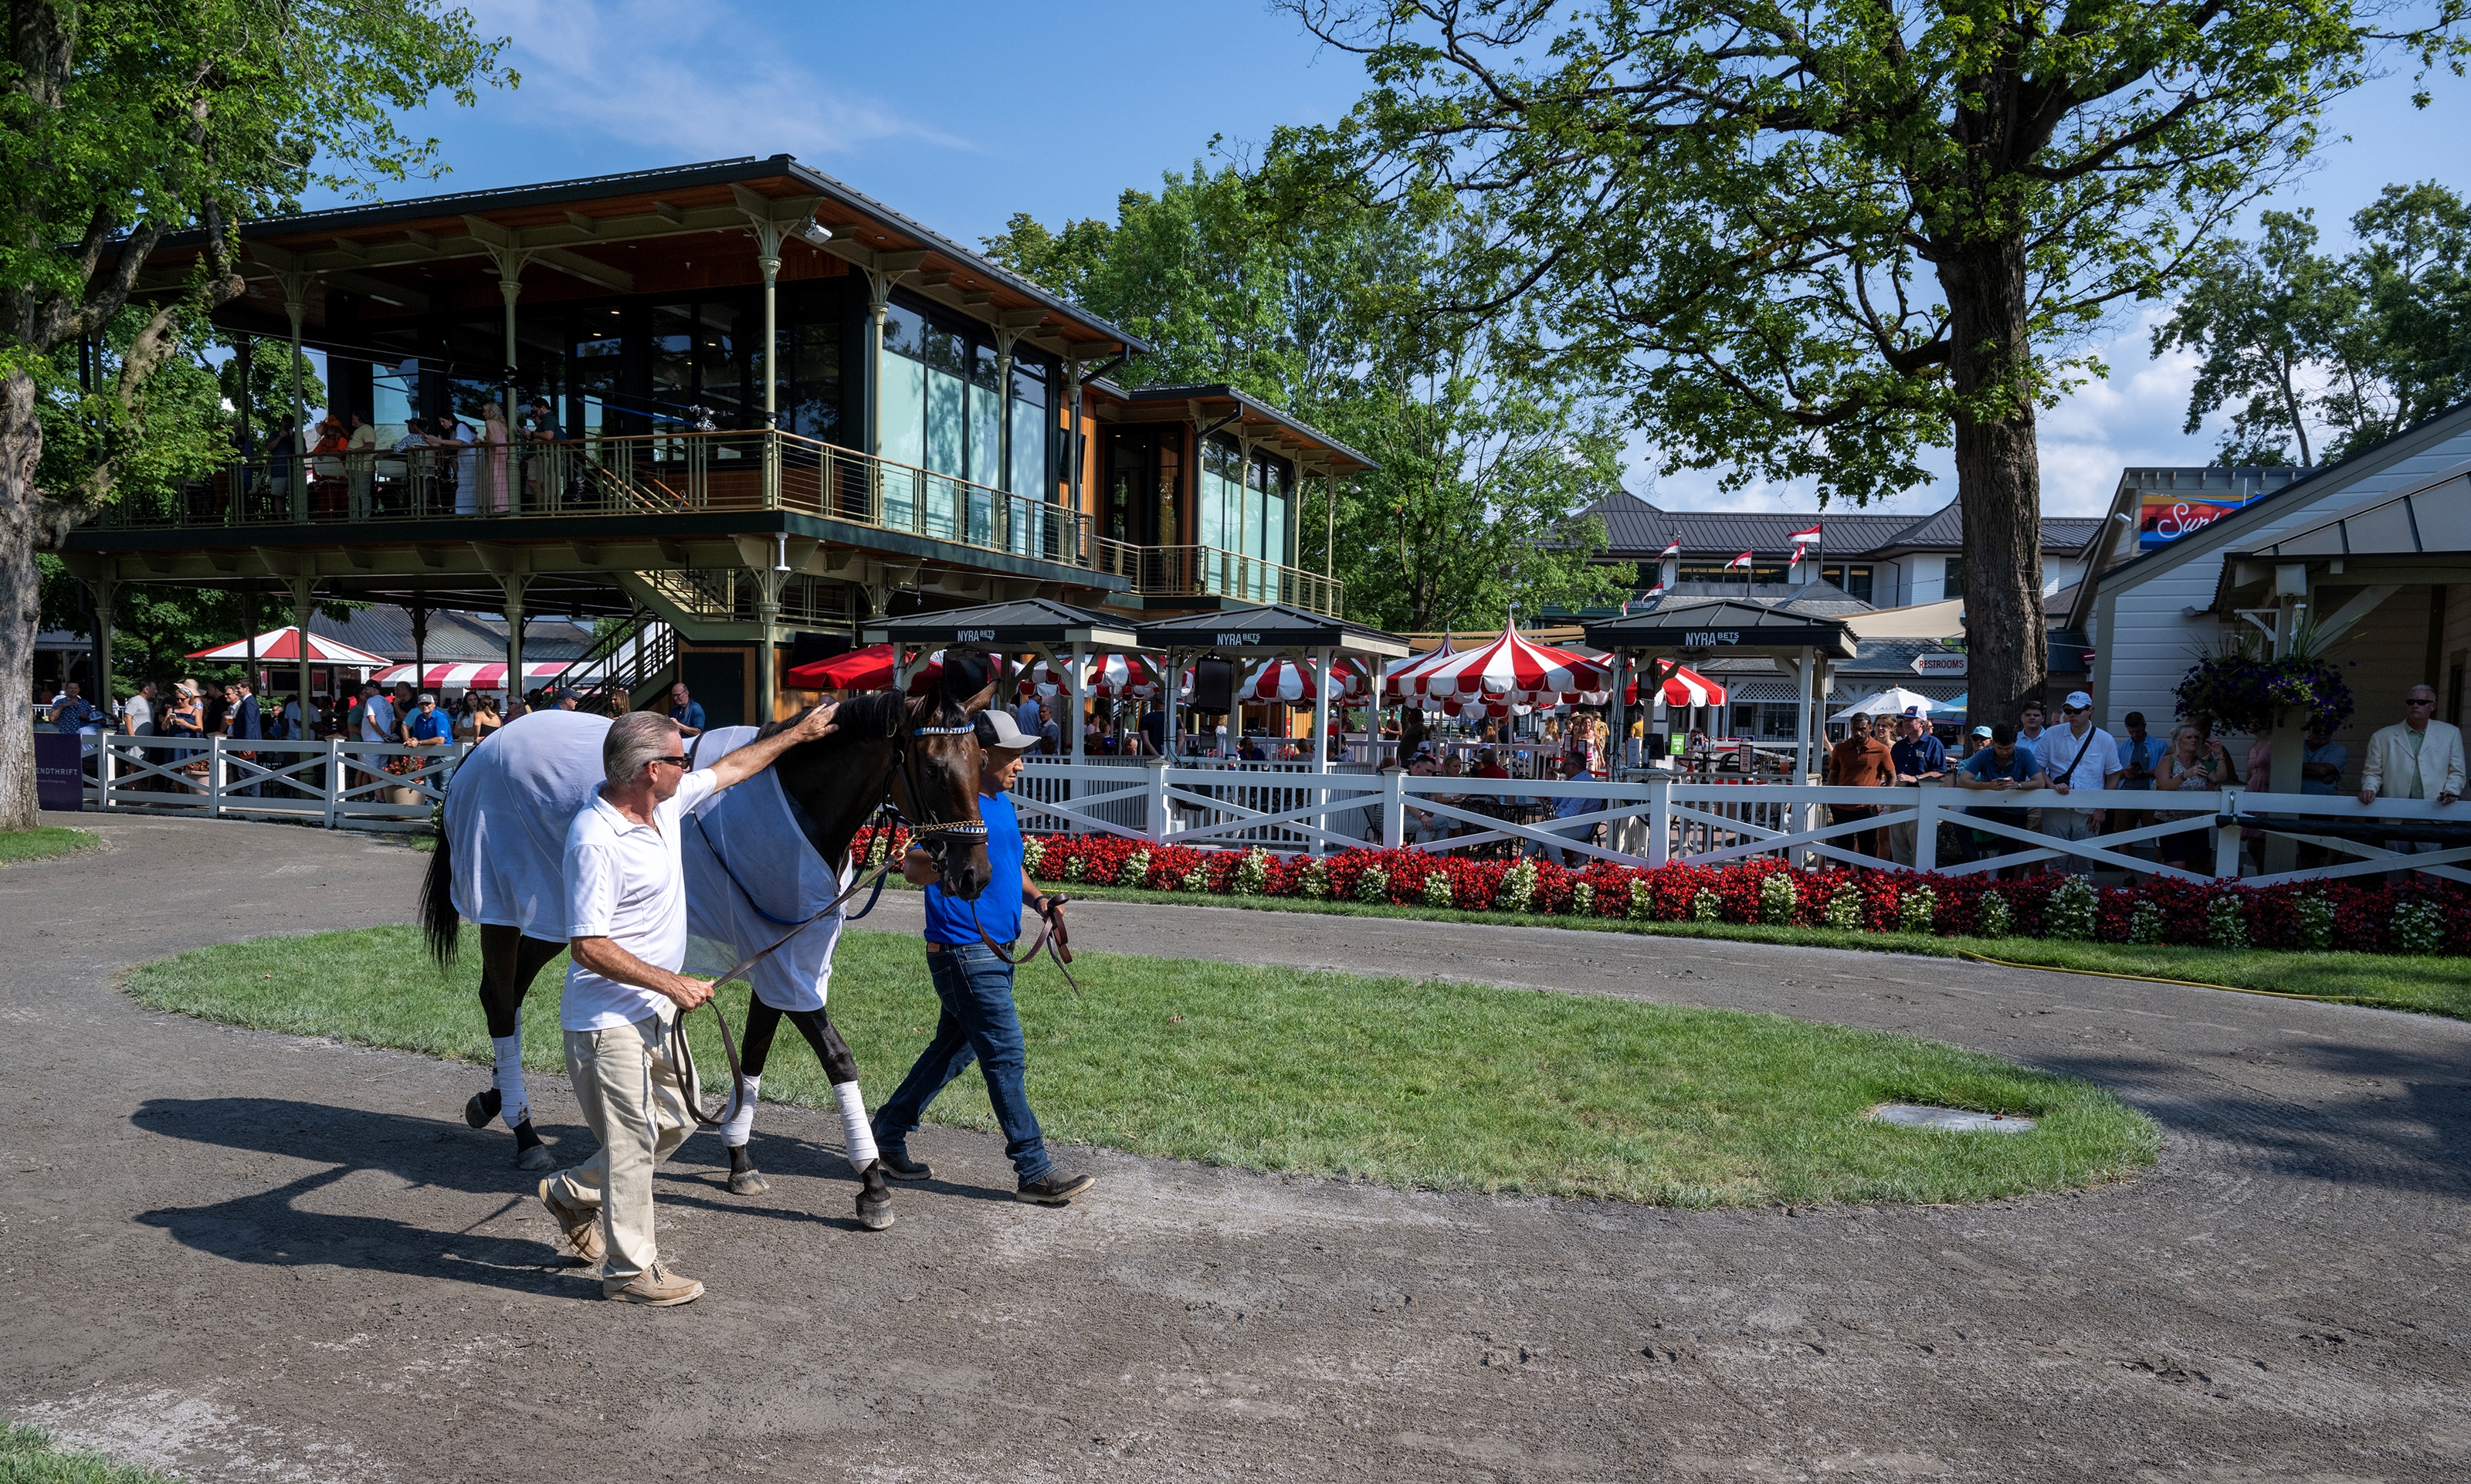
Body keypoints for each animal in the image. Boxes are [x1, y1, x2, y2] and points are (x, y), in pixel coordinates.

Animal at [425, 671, 993, 1225]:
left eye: (980, 762)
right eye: (936, 769)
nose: (975, 876)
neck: (798, 804)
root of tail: (483, 749)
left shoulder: (781, 955)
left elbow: (754, 1051)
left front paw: (740, 1158)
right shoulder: (787, 966)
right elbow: (838, 1059)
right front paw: (872, 1182)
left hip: (551, 917)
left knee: (510, 996)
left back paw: (494, 1100)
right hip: (503, 904)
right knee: (501, 1000)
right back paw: (524, 1132)